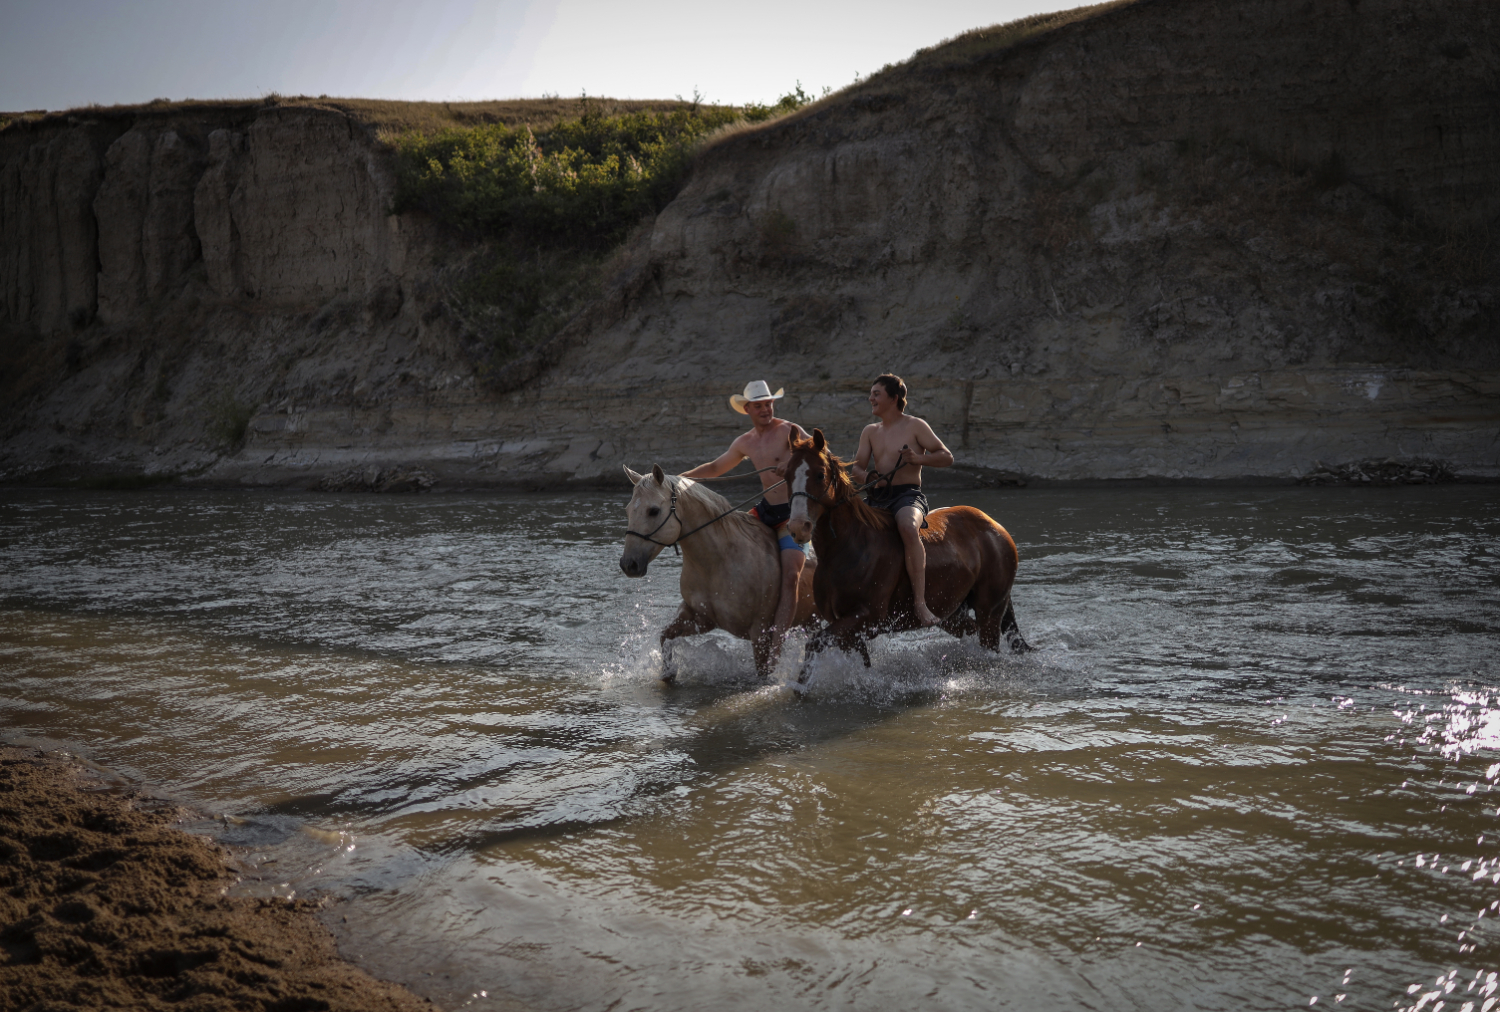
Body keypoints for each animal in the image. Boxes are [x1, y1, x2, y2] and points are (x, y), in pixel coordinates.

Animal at [615, 464, 816, 680]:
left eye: (653, 511)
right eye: (628, 510)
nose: (629, 564)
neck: (719, 562)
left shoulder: (760, 632)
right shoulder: (700, 618)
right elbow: (665, 637)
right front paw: (668, 674)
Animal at [780, 428, 1026, 680]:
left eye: (820, 475)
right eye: (786, 475)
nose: (798, 527)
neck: (846, 548)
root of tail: (995, 527)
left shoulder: (868, 617)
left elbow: (814, 642)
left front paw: (800, 686)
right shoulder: (845, 623)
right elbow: (860, 659)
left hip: (990, 609)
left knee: (988, 637)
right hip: (951, 613)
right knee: (971, 630)